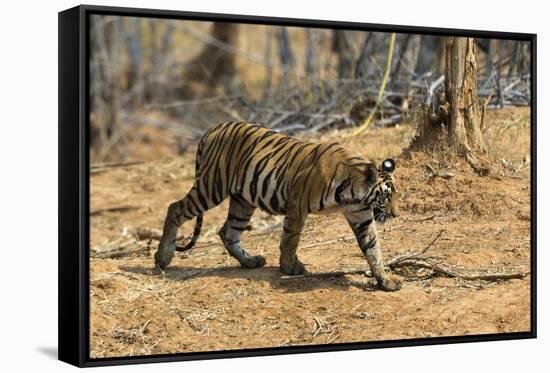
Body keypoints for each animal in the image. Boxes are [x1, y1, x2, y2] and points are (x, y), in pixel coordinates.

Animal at [155, 120, 402, 290]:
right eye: (386, 196)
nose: (396, 215)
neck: (353, 194)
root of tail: (213, 128)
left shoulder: (361, 215)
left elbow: (373, 248)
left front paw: (385, 281)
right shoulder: (297, 205)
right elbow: (290, 239)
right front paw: (290, 268)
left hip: (242, 201)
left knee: (228, 231)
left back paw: (250, 261)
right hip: (212, 187)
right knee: (175, 208)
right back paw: (162, 258)